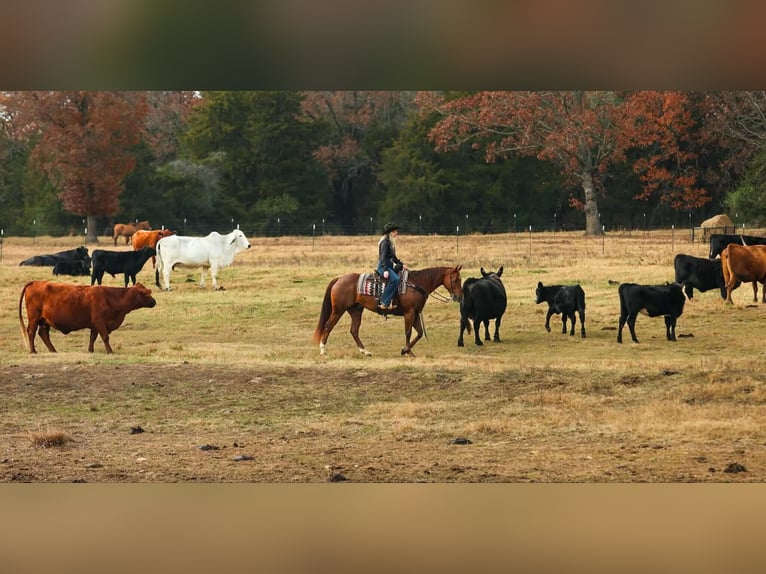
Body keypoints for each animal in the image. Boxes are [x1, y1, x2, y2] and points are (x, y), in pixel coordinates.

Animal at [313, 265, 463, 356]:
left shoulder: (415, 314)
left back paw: (365, 351)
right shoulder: (409, 313)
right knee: (328, 325)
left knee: (354, 330)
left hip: (355, 311)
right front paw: (408, 351)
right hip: (338, 310)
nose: (459, 296)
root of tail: (339, 279)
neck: (417, 284)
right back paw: (323, 350)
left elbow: (419, 333)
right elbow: (408, 332)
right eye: (456, 279)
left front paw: (405, 350)